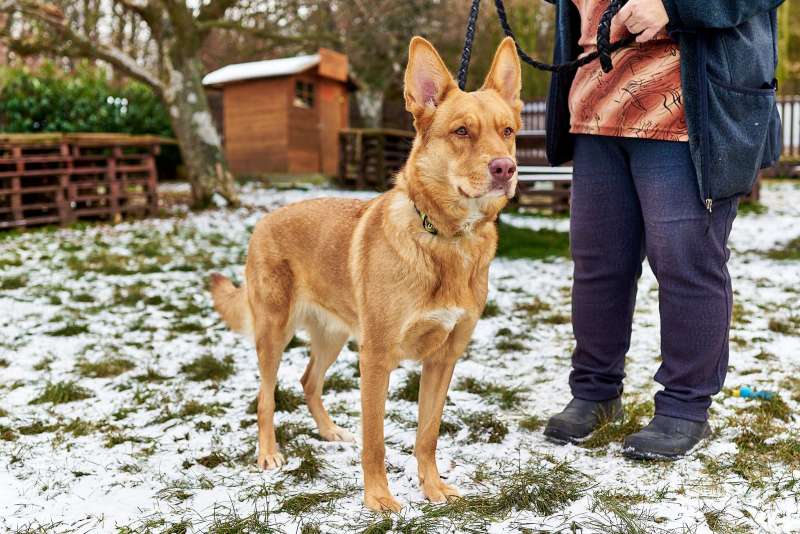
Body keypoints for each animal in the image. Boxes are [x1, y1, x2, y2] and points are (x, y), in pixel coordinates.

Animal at [210, 36, 521, 512]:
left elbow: (427, 435)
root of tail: (264, 219)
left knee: (308, 381)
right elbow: (374, 439)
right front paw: (378, 498)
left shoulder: (443, 359)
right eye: (461, 132)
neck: (447, 240)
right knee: (265, 396)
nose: (505, 168)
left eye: (507, 131)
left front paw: (432, 488)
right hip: (274, 333)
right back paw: (268, 453)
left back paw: (328, 431)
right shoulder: (375, 358)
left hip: (333, 334)